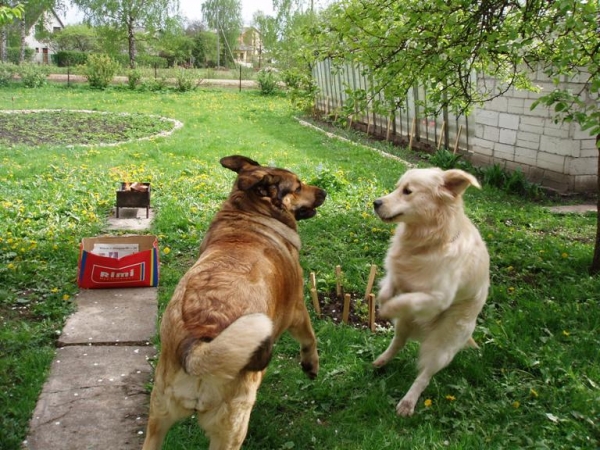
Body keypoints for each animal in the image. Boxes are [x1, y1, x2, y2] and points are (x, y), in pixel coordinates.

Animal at [141, 156, 326, 450]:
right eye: (297, 186)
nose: (324, 193)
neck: (248, 214)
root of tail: (196, 344)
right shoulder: (297, 309)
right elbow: (310, 338)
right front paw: (311, 365)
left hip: (158, 417)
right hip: (232, 427)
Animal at [372, 167, 490, 416]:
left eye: (408, 191)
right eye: (397, 187)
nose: (376, 203)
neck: (428, 241)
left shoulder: (437, 298)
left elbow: (407, 300)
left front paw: (387, 308)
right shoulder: (396, 273)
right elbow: (389, 287)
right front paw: (383, 300)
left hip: (443, 345)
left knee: (424, 376)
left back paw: (408, 402)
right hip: (404, 326)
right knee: (398, 343)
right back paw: (382, 360)